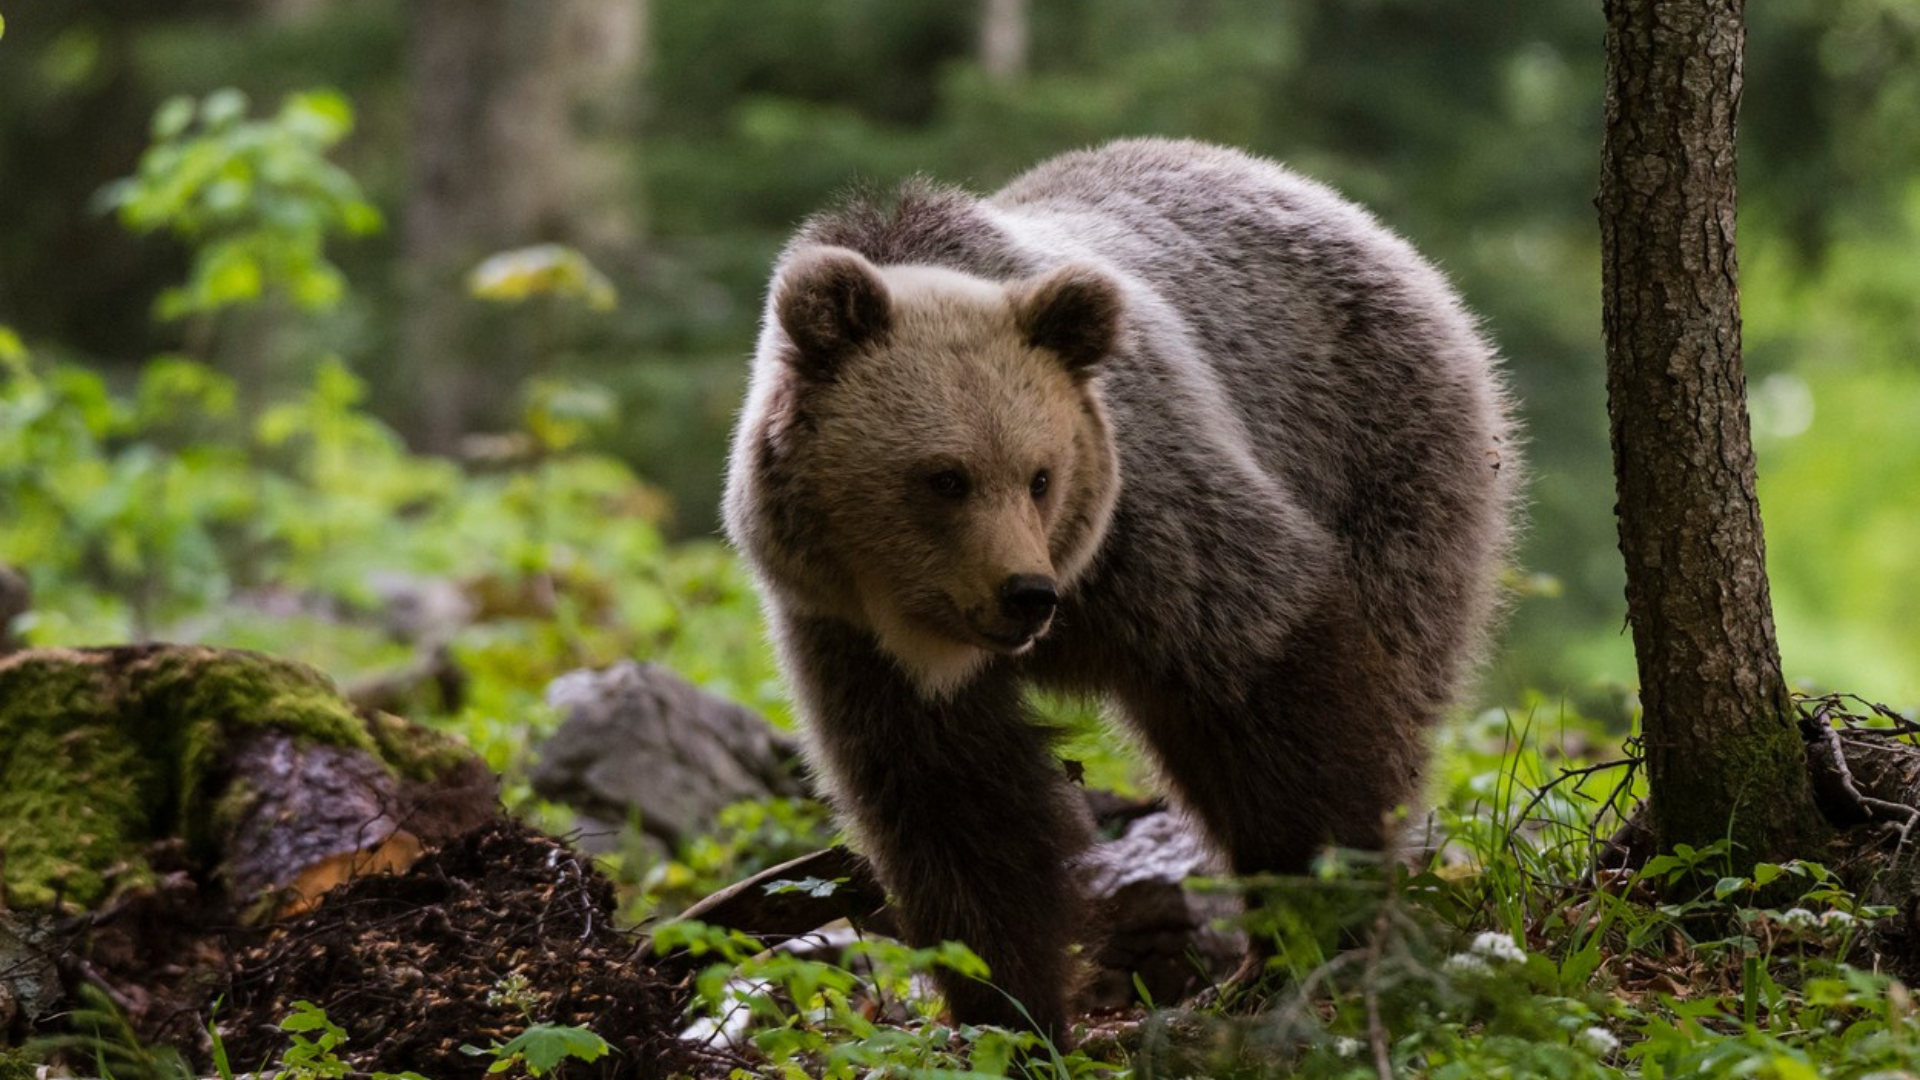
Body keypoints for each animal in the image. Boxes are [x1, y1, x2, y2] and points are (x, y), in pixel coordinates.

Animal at [721, 136, 1512, 1037]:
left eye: (1040, 476)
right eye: (944, 478)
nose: (1026, 594)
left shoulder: (1152, 527)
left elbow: (1281, 676)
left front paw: (1316, 915)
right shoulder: (846, 634)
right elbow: (954, 801)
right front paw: (1009, 1008)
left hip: (1379, 451)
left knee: (1383, 672)